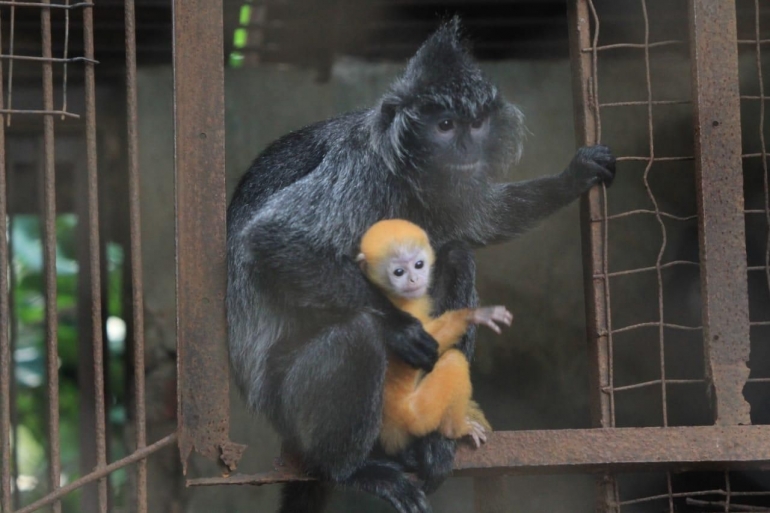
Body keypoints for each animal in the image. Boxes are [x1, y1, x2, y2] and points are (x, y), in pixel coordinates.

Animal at [356, 218, 512, 454]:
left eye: (419, 264)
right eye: (399, 271)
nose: (414, 279)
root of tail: (391, 436)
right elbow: (428, 341)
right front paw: (472, 315)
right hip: (416, 415)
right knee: (454, 361)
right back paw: (455, 429)